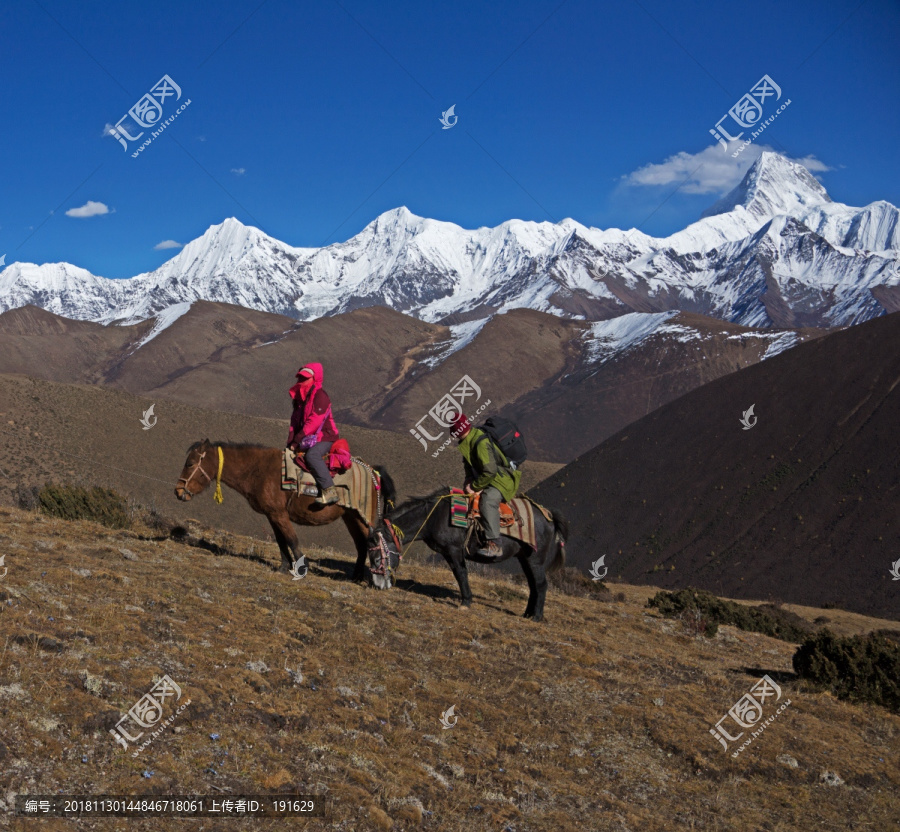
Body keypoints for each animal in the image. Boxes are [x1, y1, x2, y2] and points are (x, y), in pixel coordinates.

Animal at [176, 438, 394, 580]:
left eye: (190, 463)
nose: (178, 492)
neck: (257, 470)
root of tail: (372, 470)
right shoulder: (272, 515)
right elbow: (281, 541)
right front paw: (283, 567)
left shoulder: (279, 514)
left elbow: (291, 539)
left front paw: (301, 569)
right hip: (350, 517)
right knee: (361, 544)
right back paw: (356, 577)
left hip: (363, 516)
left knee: (374, 541)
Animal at [382, 490, 568, 620]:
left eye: (378, 550)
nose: (379, 584)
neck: (434, 516)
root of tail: (549, 516)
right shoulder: (448, 553)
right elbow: (458, 574)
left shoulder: (454, 550)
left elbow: (461, 574)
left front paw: (465, 602)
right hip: (524, 558)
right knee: (533, 585)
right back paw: (527, 614)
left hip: (535, 559)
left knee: (541, 584)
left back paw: (536, 617)